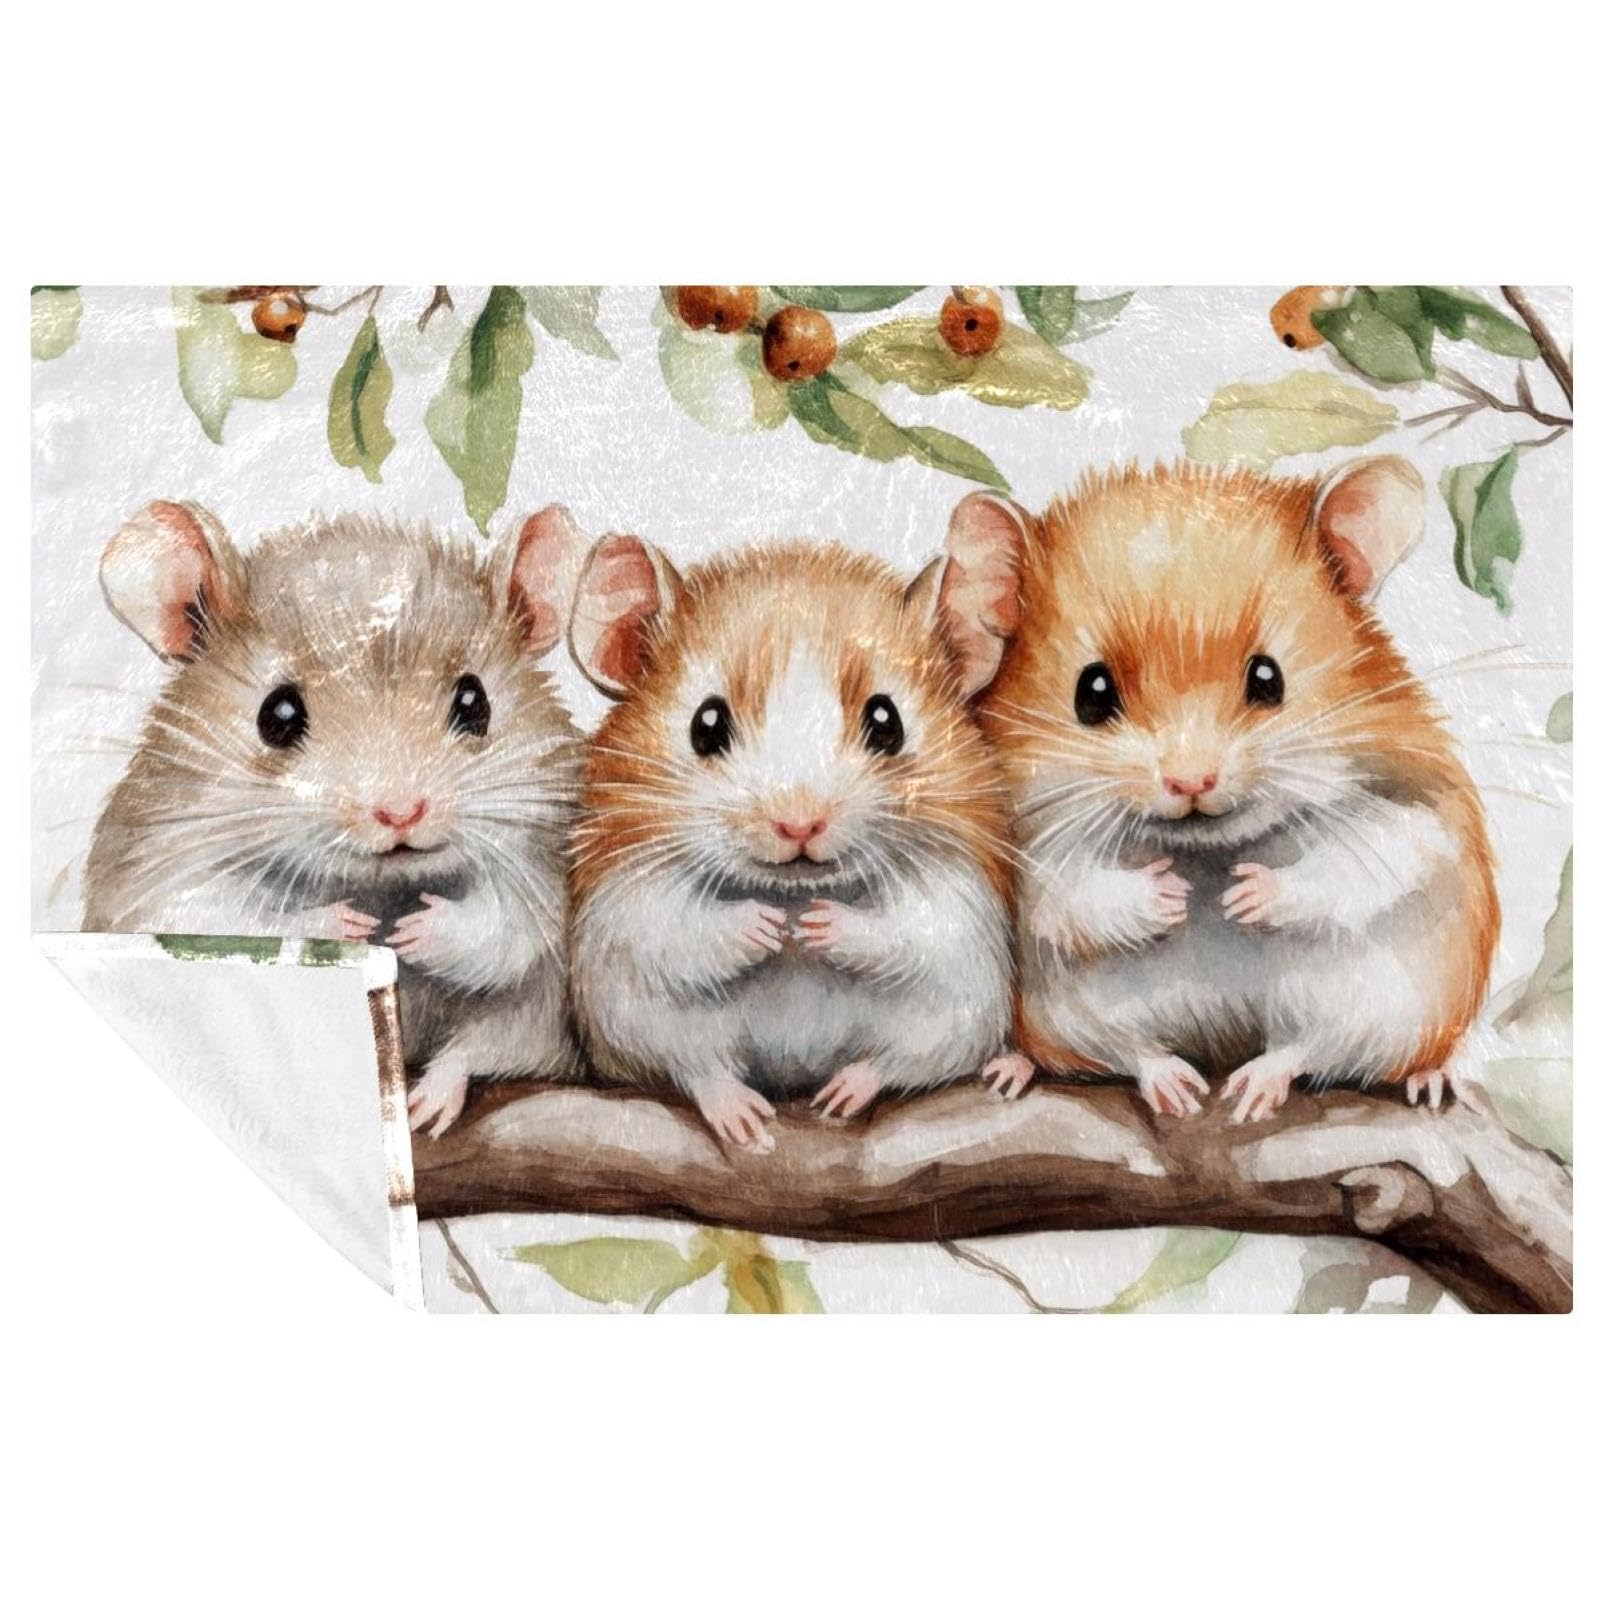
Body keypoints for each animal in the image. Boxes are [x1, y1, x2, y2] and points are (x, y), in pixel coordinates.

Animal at [83, 498, 588, 1136]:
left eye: (475, 701)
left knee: (480, 1048)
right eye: (277, 714)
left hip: (537, 1023)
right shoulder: (159, 860)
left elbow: (512, 925)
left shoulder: (545, 846)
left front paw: (412, 932)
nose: (400, 813)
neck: (383, 885)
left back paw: (427, 1102)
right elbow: (220, 920)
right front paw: (347, 926)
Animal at [565, 531, 1021, 1150]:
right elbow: (673, 933)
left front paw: (816, 926)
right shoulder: (626, 900)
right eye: (707, 725)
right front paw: (767, 928)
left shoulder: (958, 904)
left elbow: (911, 934)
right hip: (636, 1018)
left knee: (900, 1062)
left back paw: (847, 1092)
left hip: (956, 1018)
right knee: (697, 1066)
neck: (792, 889)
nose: (800, 825)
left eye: (887, 721)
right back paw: (743, 1116)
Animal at [948, 457, 1499, 1122]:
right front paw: (1171, 897)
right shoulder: (1019, 843)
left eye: (1268, 678)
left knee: (1311, 1048)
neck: (1206, 851)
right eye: (1092, 692)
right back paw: (1151, 1088)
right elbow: (1070, 894)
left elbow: (1359, 866)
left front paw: (1245, 896)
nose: (1192, 781)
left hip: (1387, 1005)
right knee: (1124, 1051)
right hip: (1070, 1013)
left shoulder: (1418, 803)